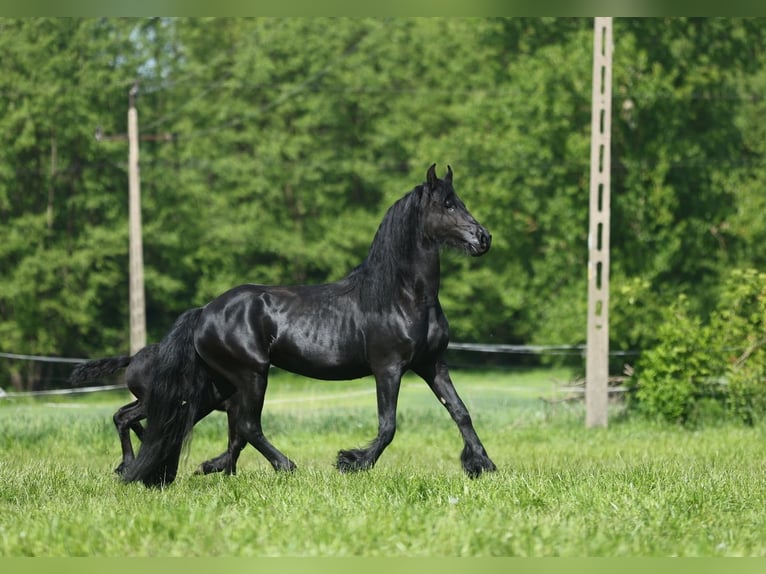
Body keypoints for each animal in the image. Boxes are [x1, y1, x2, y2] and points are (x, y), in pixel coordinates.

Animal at [122, 164, 498, 488]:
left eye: (460, 201)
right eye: (447, 205)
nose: (483, 238)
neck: (402, 296)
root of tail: (204, 312)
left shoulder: (432, 364)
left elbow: (461, 413)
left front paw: (484, 465)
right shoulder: (388, 368)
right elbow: (388, 425)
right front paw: (352, 461)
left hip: (220, 383)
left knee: (209, 424)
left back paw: (193, 468)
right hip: (251, 375)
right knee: (247, 425)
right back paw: (285, 466)